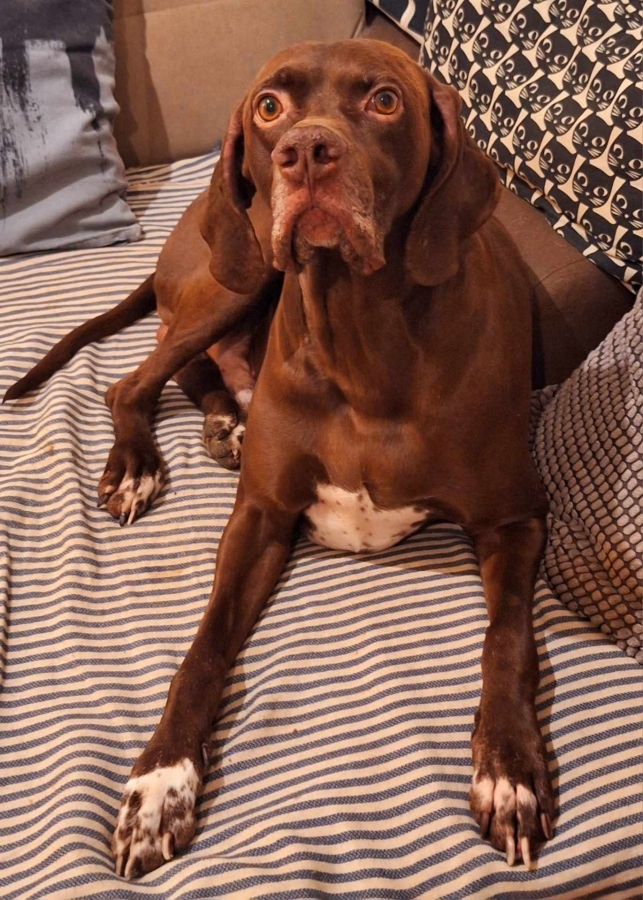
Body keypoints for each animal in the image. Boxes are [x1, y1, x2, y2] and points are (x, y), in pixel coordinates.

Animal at [4, 39, 554, 877]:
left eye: (384, 100)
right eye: (269, 107)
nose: (305, 153)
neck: (362, 338)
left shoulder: (514, 518)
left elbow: (508, 640)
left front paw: (507, 771)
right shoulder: (260, 519)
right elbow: (203, 647)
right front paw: (158, 786)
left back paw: (221, 424)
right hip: (240, 275)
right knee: (134, 382)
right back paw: (142, 460)